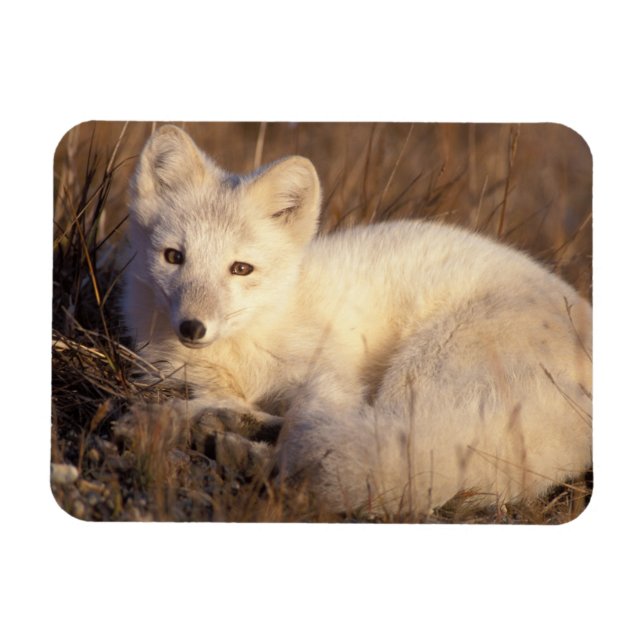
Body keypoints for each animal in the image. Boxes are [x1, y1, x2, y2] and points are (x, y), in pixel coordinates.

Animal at [121, 124, 592, 517]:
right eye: (173, 257)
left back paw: (241, 451)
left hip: (421, 368)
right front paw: (181, 417)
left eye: (241, 269)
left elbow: (305, 421)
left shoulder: (330, 377)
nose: (192, 328)